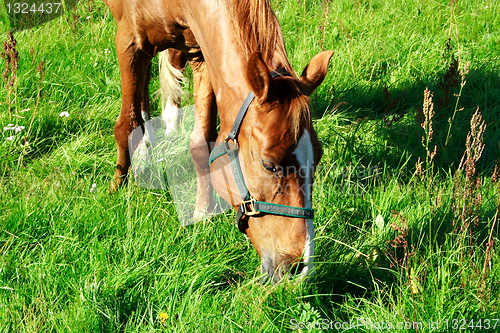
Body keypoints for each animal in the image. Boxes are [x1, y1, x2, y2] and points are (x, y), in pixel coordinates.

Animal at [103, 0, 332, 282]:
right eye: (269, 165)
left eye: (317, 158)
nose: (301, 268)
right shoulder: (129, 41)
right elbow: (126, 123)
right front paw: (116, 186)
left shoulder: (201, 54)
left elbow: (201, 143)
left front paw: (202, 213)